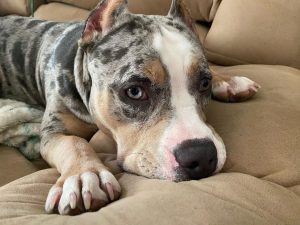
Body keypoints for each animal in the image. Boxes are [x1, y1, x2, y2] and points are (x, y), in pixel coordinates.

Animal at [0, 0, 260, 214]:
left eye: (204, 82)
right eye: (134, 91)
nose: (202, 157)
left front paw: (228, 81)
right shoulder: (53, 131)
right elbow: (74, 143)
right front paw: (85, 175)